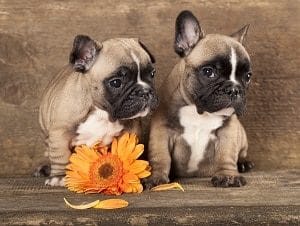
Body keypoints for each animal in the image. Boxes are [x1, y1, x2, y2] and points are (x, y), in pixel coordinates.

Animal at [38, 35, 158, 186]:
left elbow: (126, 152)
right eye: (116, 82)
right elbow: (61, 155)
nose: (145, 91)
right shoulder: (60, 133)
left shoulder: (130, 132)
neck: (102, 113)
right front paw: (59, 176)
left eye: (152, 74)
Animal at [145, 9, 253, 188]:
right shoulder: (162, 130)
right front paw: (155, 176)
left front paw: (228, 176)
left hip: (242, 133)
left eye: (248, 76)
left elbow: (227, 154)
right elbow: (160, 156)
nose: (234, 89)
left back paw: (244, 163)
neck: (199, 112)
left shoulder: (228, 130)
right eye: (209, 72)